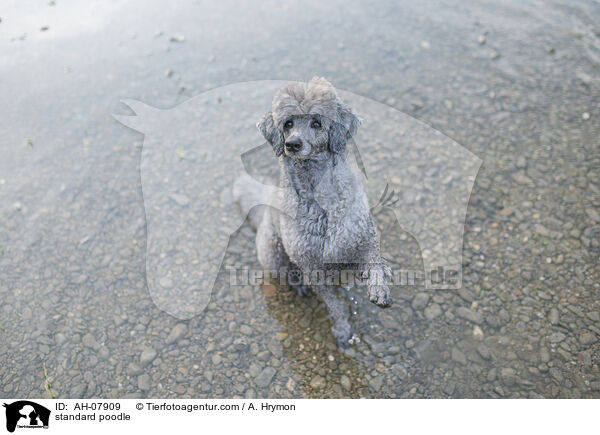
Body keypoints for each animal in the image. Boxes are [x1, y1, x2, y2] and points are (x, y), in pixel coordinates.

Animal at [232, 77, 392, 348]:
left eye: (316, 122)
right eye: (288, 123)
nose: (292, 144)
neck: (321, 204)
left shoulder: (361, 239)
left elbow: (374, 261)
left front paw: (379, 288)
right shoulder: (313, 267)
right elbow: (335, 305)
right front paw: (342, 330)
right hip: (273, 253)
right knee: (287, 274)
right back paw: (298, 286)